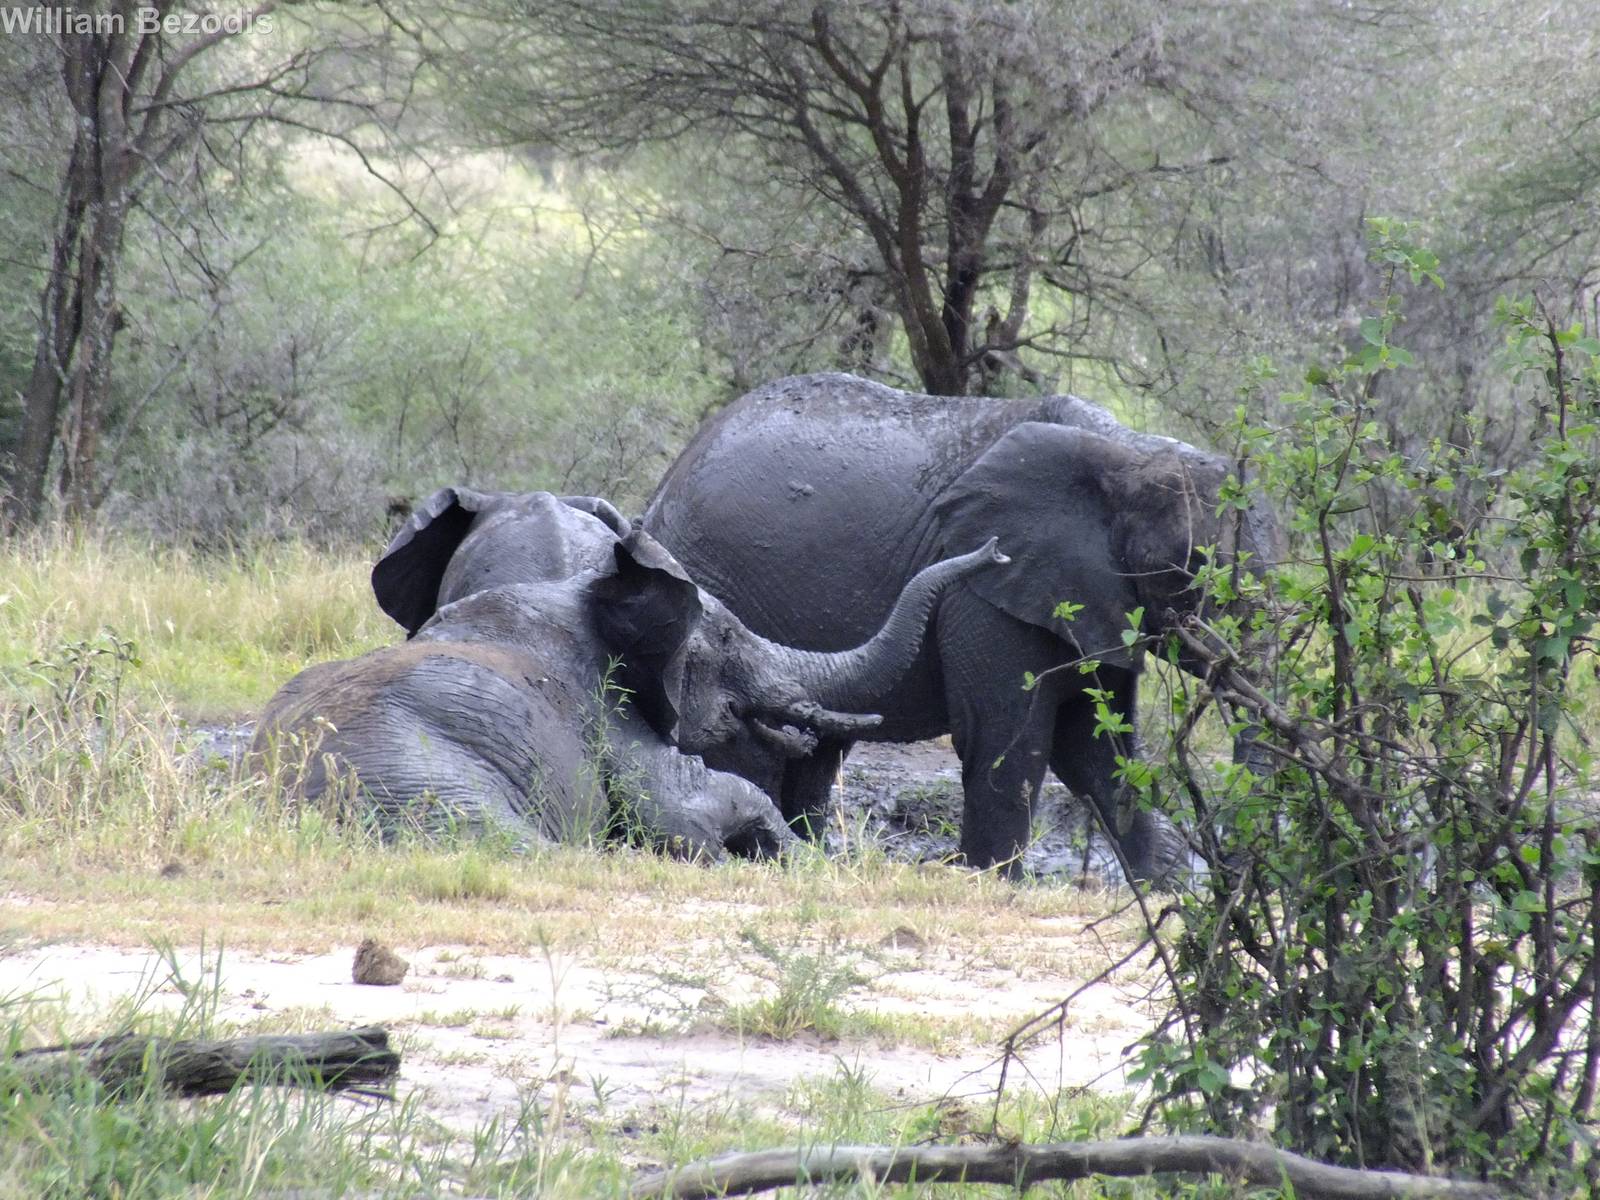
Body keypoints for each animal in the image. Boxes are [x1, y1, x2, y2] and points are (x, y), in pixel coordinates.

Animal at [253, 489, 1006, 860]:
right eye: (726, 636)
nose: (995, 553)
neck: (588, 594)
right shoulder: (603, 713)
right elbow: (679, 808)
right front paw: (798, 857)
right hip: (437, 785)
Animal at [643, 373, 1280, 880]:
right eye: (1192, 569)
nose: (1233, 869)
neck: (1127, 453)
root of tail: (666, 482)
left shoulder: (1096, 597)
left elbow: (1097, 743)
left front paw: (1167, 885)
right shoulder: (987, 595)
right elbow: (1010, 737)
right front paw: (995, 884)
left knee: (816, 753)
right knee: (754, 745)